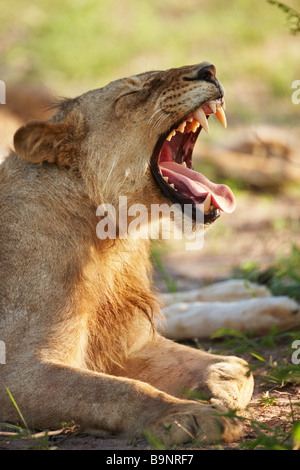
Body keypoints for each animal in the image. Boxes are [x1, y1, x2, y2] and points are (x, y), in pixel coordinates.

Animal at [0, 62, 253, 444]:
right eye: (134, 92)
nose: (208, 69)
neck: (112, 240)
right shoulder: (17, 372)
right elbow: (116, 391)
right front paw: (186, 416)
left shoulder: (132, 343)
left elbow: (232, 366)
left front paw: (223, 378)